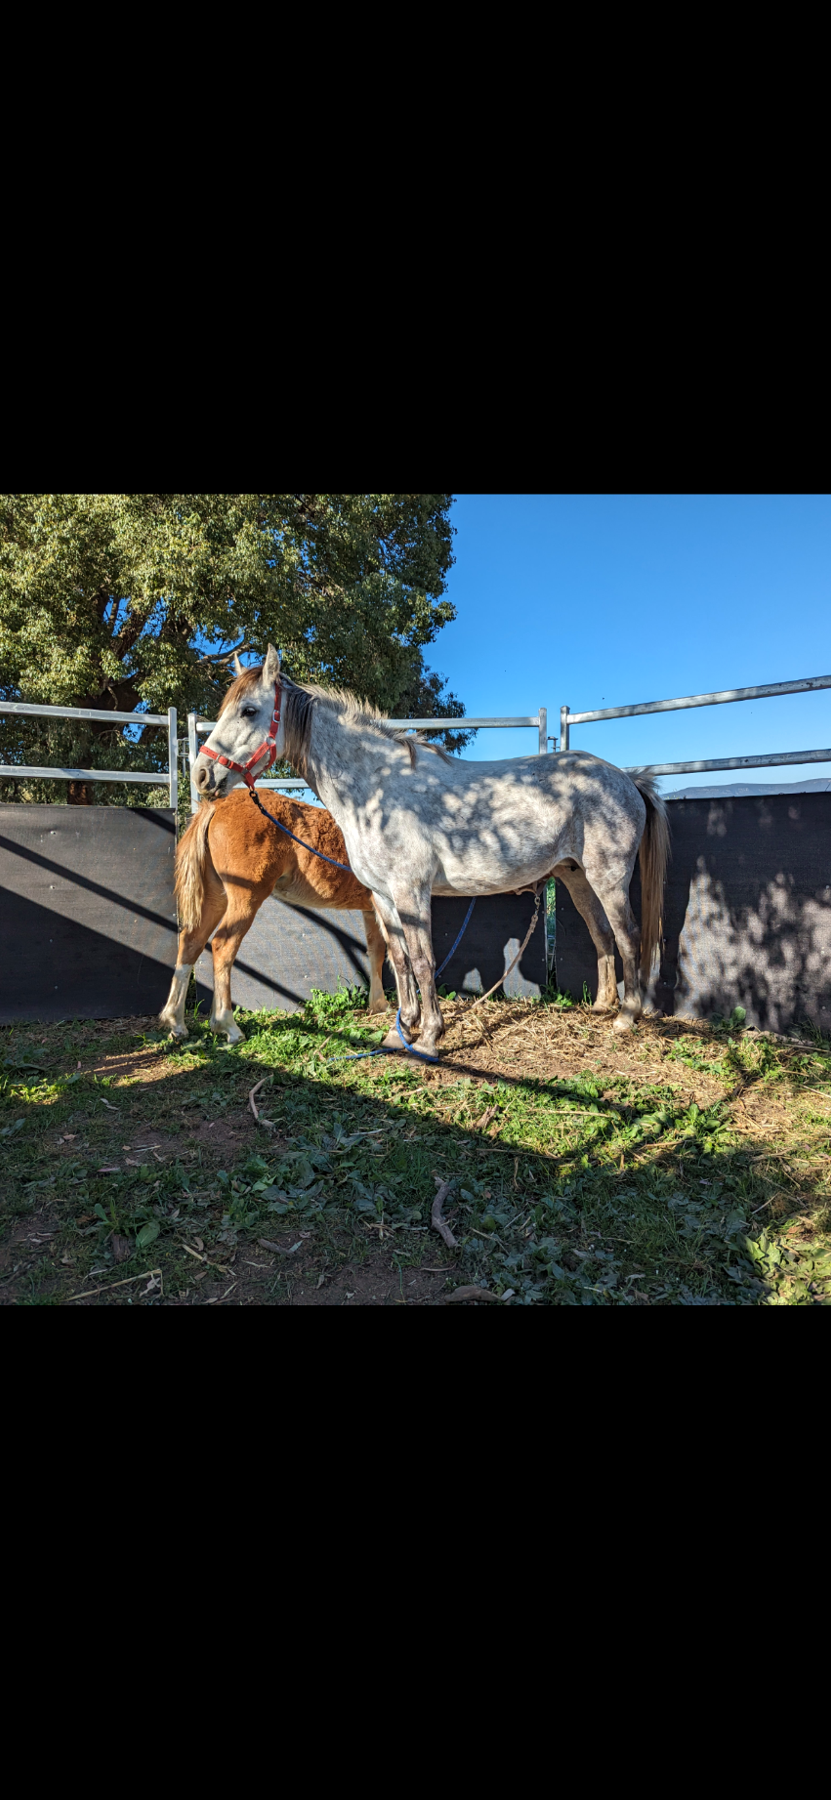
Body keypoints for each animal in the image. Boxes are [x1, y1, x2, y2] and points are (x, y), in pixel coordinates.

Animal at [159, 786, 390, 1043]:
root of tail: (218, 806)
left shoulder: (371, 911)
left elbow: (377, 952)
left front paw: (379, 1005)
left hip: (215, 897)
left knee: (192, 942)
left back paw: (177, 1023)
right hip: (246, 898)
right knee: (223, 944)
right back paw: (228, 1026)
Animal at [192, 646, 670, 1060]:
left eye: (249, 710)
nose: (201, 775)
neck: (376, 791)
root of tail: (626, 779)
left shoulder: (411, 892)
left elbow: (424, 962)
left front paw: (429, 1038)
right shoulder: (383, 898)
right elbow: (400, 961)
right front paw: (399, 1029)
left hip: (608, 877)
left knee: (628, 935)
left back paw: (627, 1017)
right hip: (576, 876)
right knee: (602, 934)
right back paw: (603, 1007)